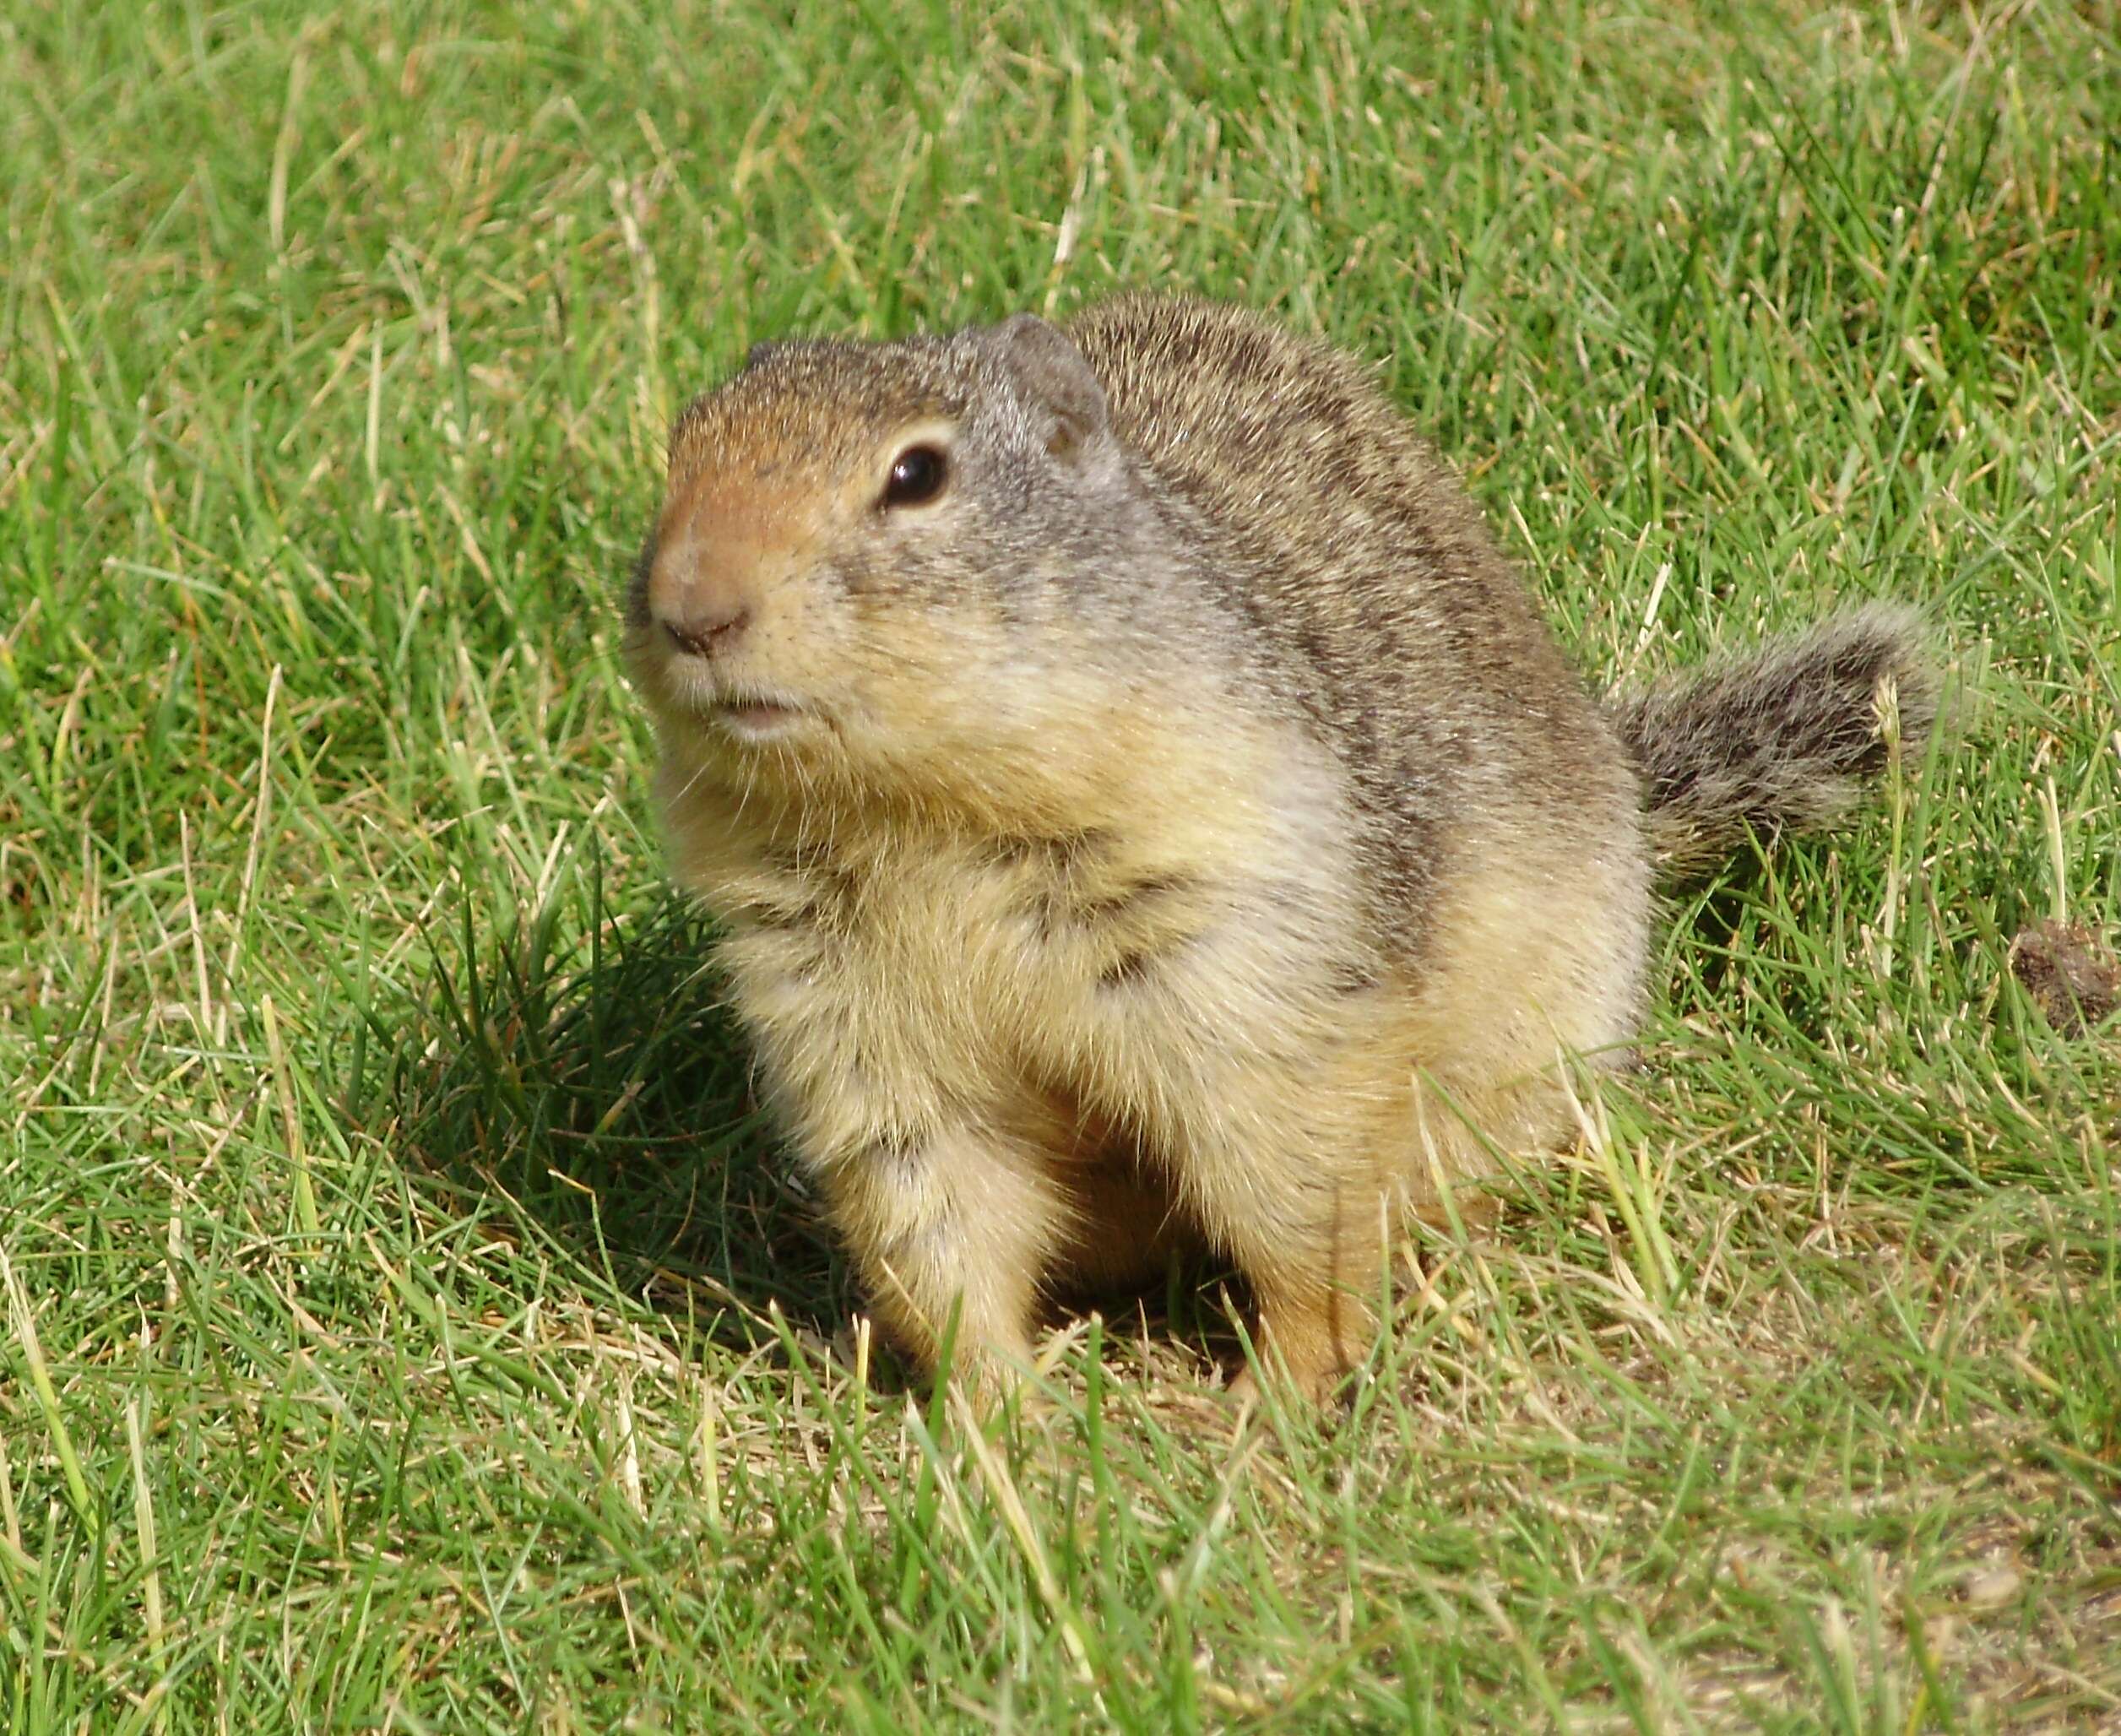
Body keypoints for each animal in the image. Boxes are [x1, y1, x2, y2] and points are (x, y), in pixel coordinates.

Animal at [619, 296, 1942, 1400]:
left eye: (916, 473)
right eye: (678, 455)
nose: (694, 608)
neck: (915, 818)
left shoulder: (1242, 916)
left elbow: (1291, 1165)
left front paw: (1278, 1396)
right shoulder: (835, 1000)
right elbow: (929, 1196)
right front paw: (1004, 1418)